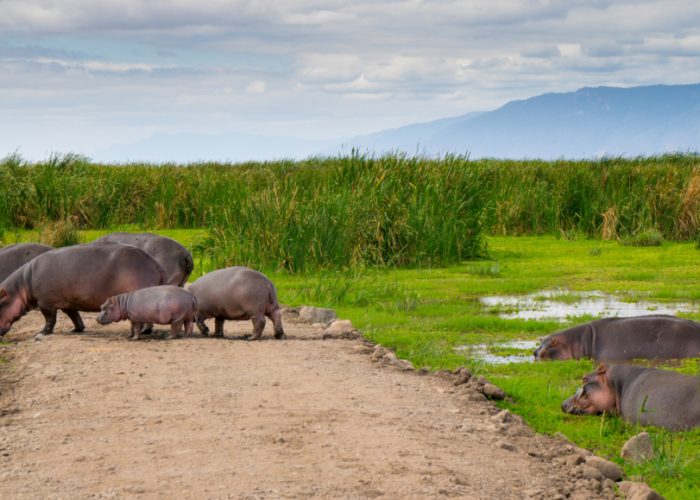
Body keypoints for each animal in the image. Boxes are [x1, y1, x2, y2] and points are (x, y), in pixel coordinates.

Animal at [0, 242, 164, 336]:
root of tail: (155, 262)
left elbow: (49, 319)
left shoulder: (45, 303)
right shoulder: (67, 302)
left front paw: (42, 333)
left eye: (0, 304)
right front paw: (76, 330)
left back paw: (143, 331)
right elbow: (75, 316)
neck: (22, 285)